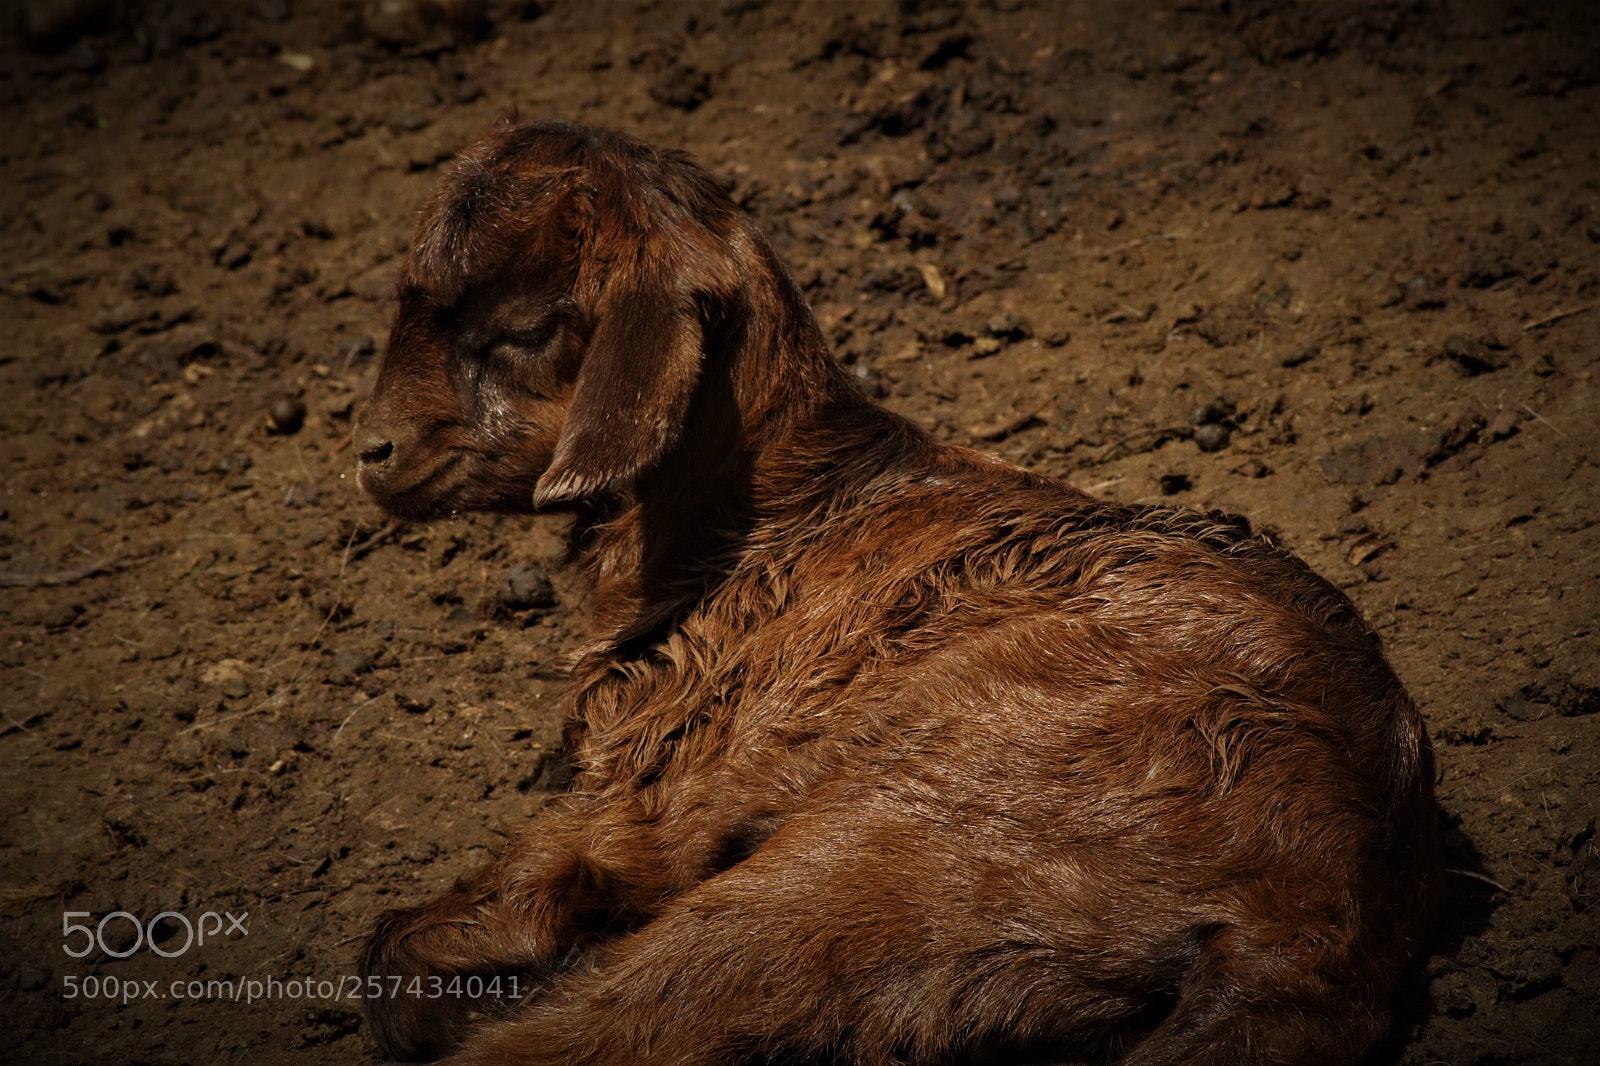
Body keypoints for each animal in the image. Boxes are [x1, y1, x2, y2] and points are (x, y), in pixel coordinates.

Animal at [353, 120, 1437, 1066]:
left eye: (525, 328)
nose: (371, 452)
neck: (767, 514)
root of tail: (1324, 918)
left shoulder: (661, 780)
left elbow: (451, 915)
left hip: (910, 840)